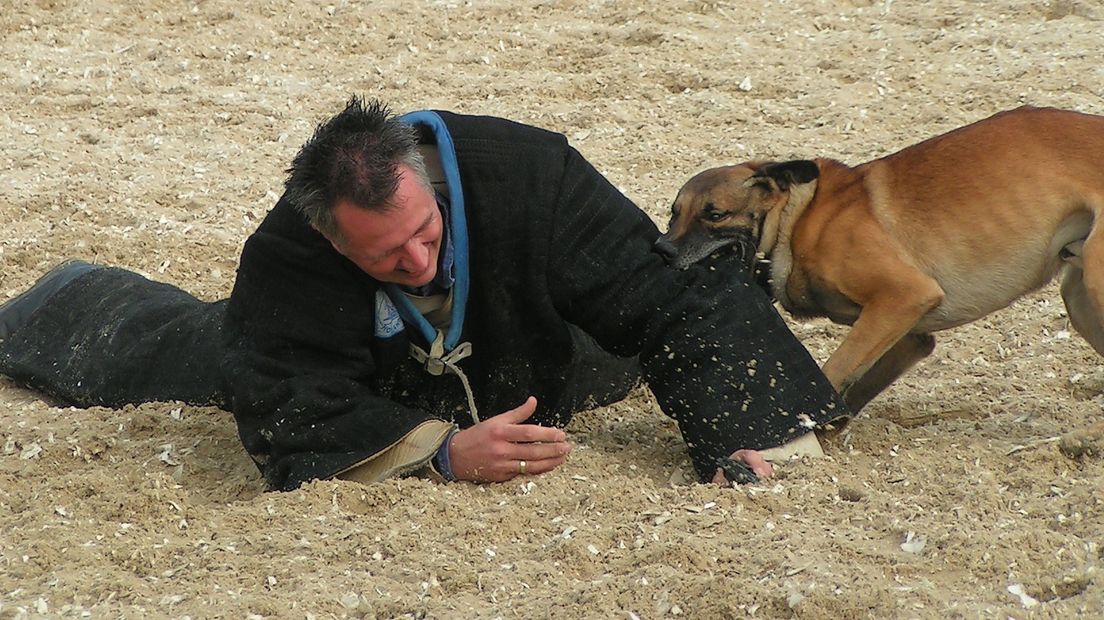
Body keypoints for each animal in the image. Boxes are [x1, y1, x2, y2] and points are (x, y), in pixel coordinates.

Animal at [653, 107, 1104, 410]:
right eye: (674, 213)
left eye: (715, 214)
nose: (662, 250)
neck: (798, 217)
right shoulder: (906, 334)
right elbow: (851, 390)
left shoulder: (903, 297)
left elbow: (834, 371)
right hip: (1080, 300)